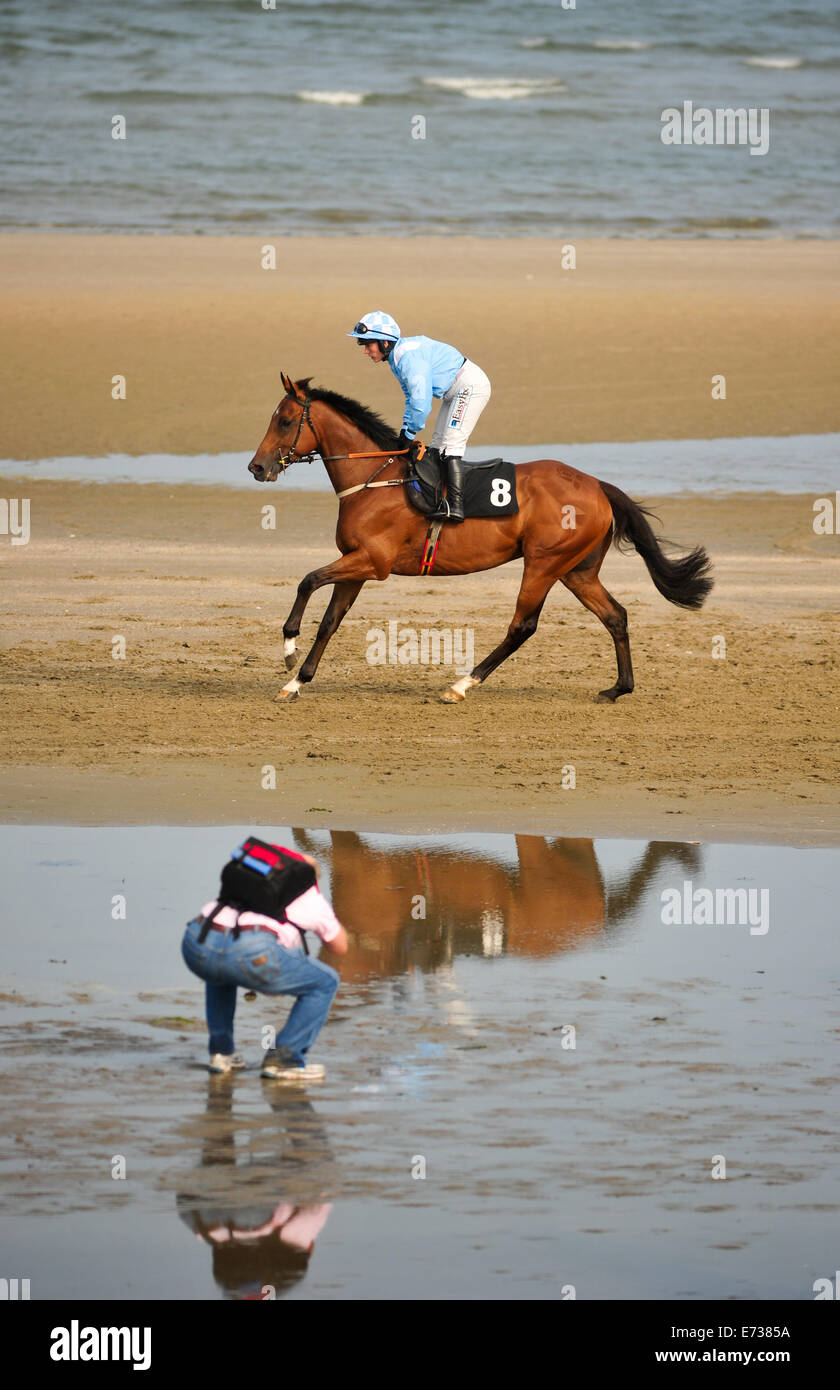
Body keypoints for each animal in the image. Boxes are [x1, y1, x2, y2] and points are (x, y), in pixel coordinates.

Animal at [246, 372, 712, 706]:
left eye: (284, 420)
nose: (256, 467)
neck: (374, 479)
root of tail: (598, 485)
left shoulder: (372, 563)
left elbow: (306, 580)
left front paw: (289, 648)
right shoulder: (356, 566)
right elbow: (330, 621)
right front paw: (296, 682)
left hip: (543, 564)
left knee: (522, 626)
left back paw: (461, 685)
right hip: (577, 571)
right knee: (616, 616)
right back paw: (618, 688)